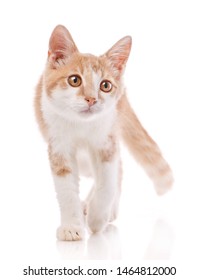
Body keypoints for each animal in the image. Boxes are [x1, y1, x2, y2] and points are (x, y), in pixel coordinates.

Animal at [34, 25, 173, 242]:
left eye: (105, 85)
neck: (82, 126)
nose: (91, 99)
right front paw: (71, 227)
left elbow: (107, 182)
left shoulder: (106, 141)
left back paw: (107, 209)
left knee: (118, 168)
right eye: (74, 80)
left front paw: (97, 218)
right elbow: (66, 189)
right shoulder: (58, 145)